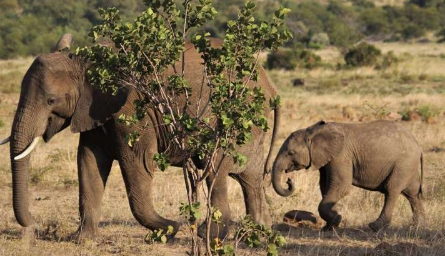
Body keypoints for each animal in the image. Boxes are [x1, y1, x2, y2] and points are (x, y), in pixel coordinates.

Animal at [1, 34, 280, 240]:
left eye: (51, 100)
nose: (35, 226)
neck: (88, 60)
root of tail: (271, 87)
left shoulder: (133, 109)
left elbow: (137, 162)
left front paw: (170, 229)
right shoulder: (93, 111)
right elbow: (89, 163)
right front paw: (81, 240)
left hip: (234, 117)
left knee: (216, 168)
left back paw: (207, 235)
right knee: (249, 178)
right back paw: (257, 234)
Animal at [272, 121, 424, 231]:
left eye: (290, 153)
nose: (289, 180)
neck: (312, 131)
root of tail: (418, 145)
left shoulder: (341, 155)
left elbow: (341, 186)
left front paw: (337, 219)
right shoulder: (327, 158)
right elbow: (325, 187)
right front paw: (329, 226)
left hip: (404, 163)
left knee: (391, 190)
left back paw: (375, 227)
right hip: (408, 166)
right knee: (412, 194)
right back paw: (417, 227)